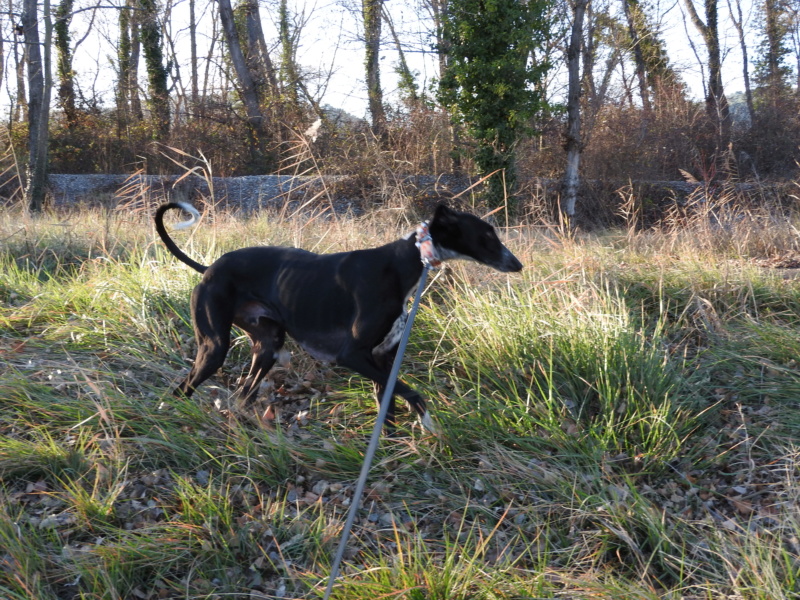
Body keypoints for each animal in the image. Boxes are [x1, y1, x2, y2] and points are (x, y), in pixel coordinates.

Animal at [155, 204, 524, 434]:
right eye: (487, 235)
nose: (517, 264)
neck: (401, 264)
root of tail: (209, 269)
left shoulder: (382, 358)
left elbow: (388, 405)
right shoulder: (352, 355)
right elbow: (414, 393)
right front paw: (429, 424)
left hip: (267, 346)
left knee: (242, 395)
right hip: (214, 347)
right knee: (182, 389)